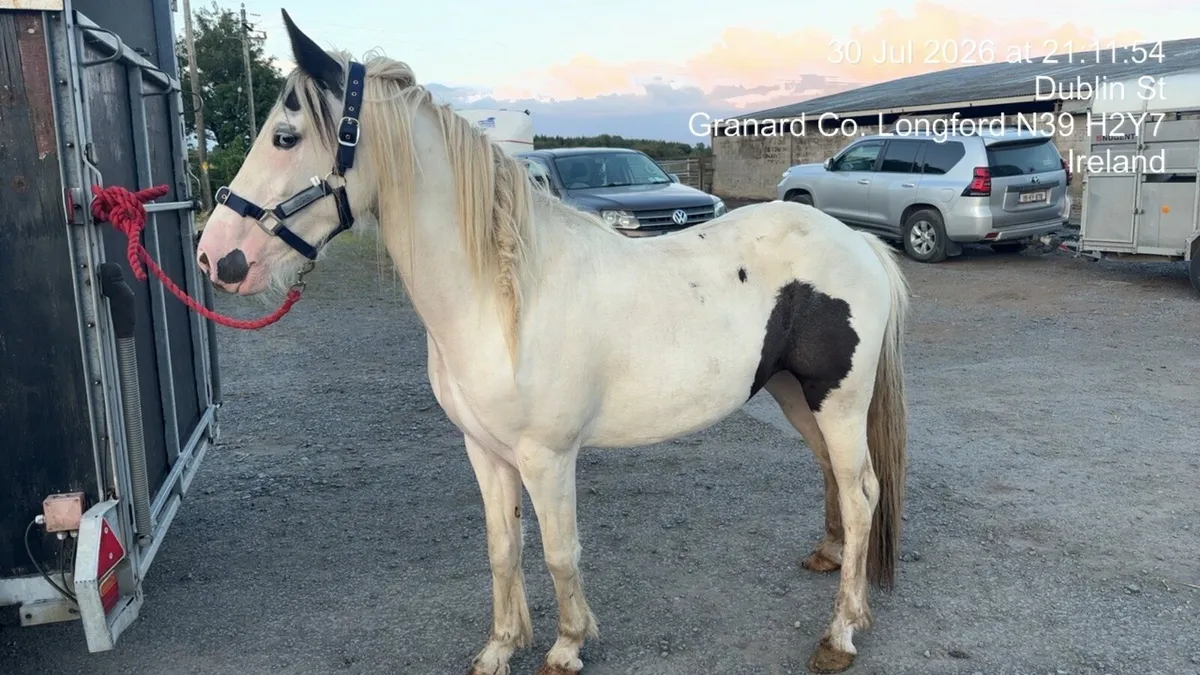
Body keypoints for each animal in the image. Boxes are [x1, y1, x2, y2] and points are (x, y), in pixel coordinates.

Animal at [195, 10, 911, 674]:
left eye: (285, 137)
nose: (216, 257)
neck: (504, 299)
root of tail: (859, 243)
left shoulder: (547, 457)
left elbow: (561, 552)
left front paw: (567, 645)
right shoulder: (484, 451)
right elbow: (502, 548)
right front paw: (500, 647)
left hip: (840, 403)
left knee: (862, 494)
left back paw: (840, 634)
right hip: (794, 392)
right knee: (835, 478)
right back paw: (830, 563)